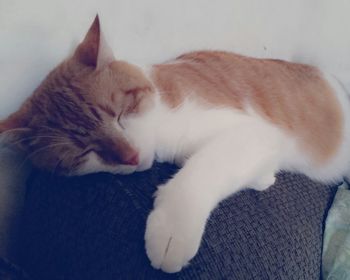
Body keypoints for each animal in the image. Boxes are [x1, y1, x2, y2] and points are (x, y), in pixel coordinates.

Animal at [0, 16, 350, 272]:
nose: (130, 157)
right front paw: (263, 177)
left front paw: (172, 229)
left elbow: (202, 170)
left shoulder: (256, 132)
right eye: (85, 152)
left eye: (121, 115)